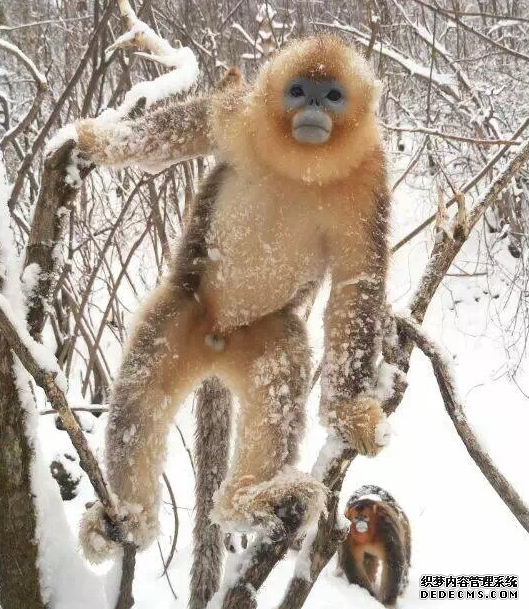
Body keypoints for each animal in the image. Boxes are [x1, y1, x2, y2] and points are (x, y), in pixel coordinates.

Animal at [73, 35, 392, 564]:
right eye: (299, 90)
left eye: (332, 96)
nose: (311, 108)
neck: (300, 168)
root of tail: (217, 340)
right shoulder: (241, 119)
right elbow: (189, 126)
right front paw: (102, 141)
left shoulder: (369, 176)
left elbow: (356, 283)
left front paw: (351, 412)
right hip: (181, 311)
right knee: (141, 397)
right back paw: (127, 519)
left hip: (264, 334)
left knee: (280, 377)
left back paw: (248, 502)